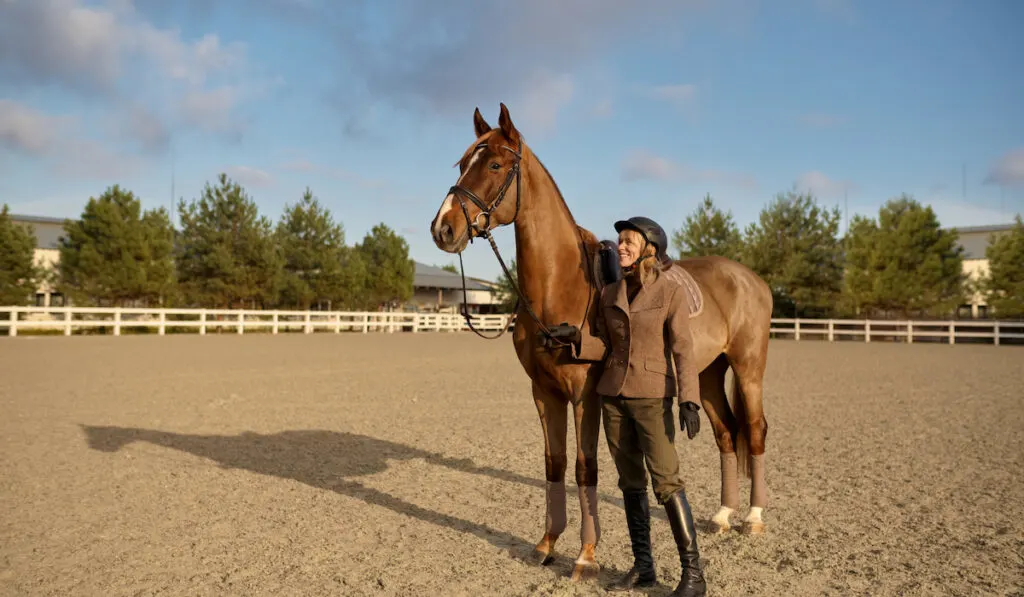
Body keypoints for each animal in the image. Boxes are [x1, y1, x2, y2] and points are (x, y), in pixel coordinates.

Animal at [428, 103, 770, 585]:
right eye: (462, 165)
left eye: (494, 164)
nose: (443, 227)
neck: (559, 288)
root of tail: (750, 278)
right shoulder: (543, 392)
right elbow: (554, 462)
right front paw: (547, 544)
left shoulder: (584, 395)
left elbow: (584, 467)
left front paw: (586, 556)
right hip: (704, 375)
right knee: (726, 432)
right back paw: (723, 516)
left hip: (748, 368)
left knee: (754, 431)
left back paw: (753, 519)